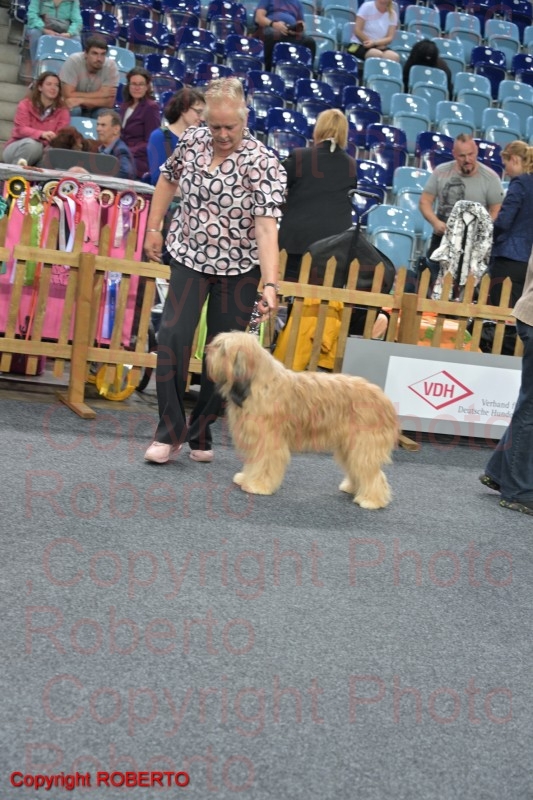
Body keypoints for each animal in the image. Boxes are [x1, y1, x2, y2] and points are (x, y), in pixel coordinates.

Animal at [206, 331, 398, 508]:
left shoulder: (268, 441)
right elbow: (254, 464)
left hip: (363, 446)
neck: (257, 384)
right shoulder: (255, 440)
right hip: (349, 446)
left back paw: (371, 500)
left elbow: (265, 464)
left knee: (373, 474)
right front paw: (245, 478)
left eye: (222, 348)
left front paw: (257, 485)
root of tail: (385, 399)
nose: (206, 350)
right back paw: (353, 488)